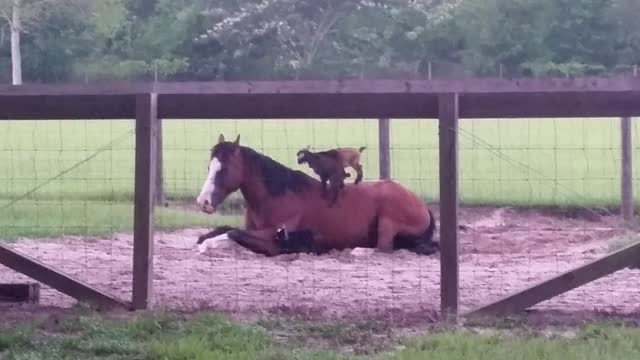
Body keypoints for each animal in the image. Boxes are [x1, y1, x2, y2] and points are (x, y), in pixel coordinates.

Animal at [194, 134, 436, 256]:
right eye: (209, 167)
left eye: (223, 169)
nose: (203, 202)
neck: (278, 195)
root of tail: (422, 205)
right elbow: (222, 230)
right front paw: (206, 240)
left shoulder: (272, 239)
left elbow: (233, 233)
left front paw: (208, 245)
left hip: (388, 221)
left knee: (383, 248)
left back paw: (357, 251)